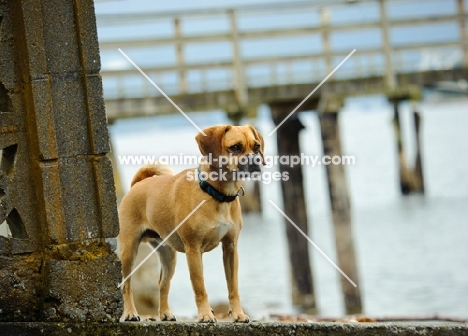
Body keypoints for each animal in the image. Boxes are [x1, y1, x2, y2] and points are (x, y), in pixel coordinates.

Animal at [118, 124, 264, 322]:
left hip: (168, 255)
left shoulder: (230, 248)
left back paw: (165, 313)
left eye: (256, 147)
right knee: (126, 284)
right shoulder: (193, 249)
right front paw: (205, 315)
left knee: (162, 283)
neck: (217, 195)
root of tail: (137, 185)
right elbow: (199, 286)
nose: (256, 160)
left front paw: (238, 314)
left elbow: (233, 286)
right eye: (235, 147)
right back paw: (130, 313)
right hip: (129, 250)